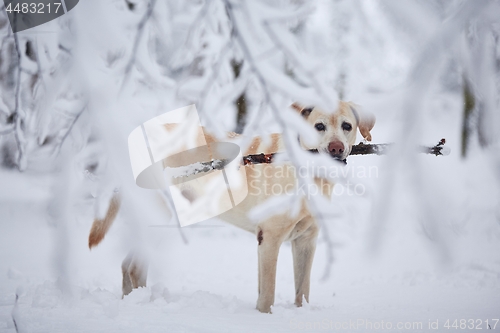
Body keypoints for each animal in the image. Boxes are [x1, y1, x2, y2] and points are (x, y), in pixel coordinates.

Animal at [89, 100, 376, 312]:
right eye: (319, 126)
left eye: (347, 125)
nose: (336, 148)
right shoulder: (269, 238)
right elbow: (267, 293)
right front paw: (265, 317)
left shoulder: (306, 240)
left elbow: (301, 291)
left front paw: (299, 313)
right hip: (161, 219)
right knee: (134, 267)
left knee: (127, 266)